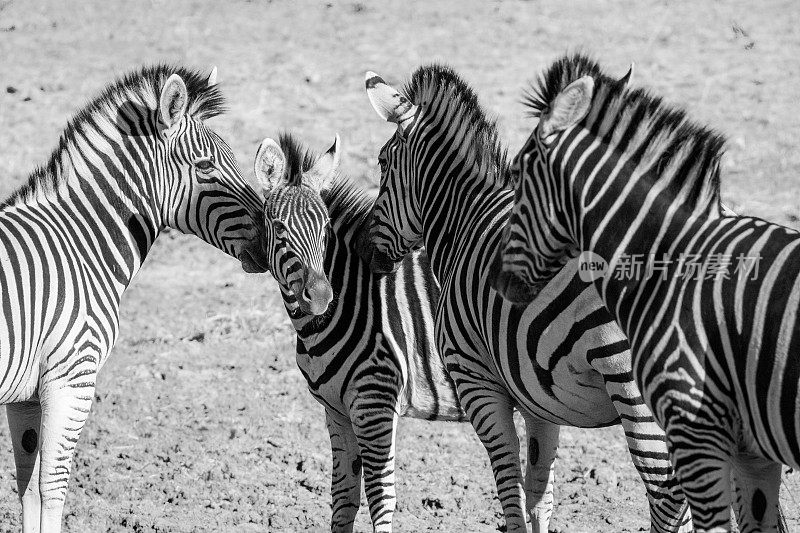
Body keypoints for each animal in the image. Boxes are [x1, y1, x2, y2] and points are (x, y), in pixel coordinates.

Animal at [0, 64, 268, 528]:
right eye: (205, 166)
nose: (272, 238)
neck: (81, 243)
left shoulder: (25, 396)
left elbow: (28, 490)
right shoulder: (72, 377)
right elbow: (52, 489)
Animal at [253, 130, 468, 532]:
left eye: (324, 229)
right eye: (279, 229)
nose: (321, 295)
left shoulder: (375, 403)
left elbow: (381, 498)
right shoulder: (337, 411)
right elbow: (343, 499)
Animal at [364, 64, 692, 528]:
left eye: (381, 163)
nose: (366, 252)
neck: (464, 221)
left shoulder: (478, 383)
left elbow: (509, 488)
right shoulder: (539, 400)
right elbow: (539, 493)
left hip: (635, 388)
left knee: (667, 495)